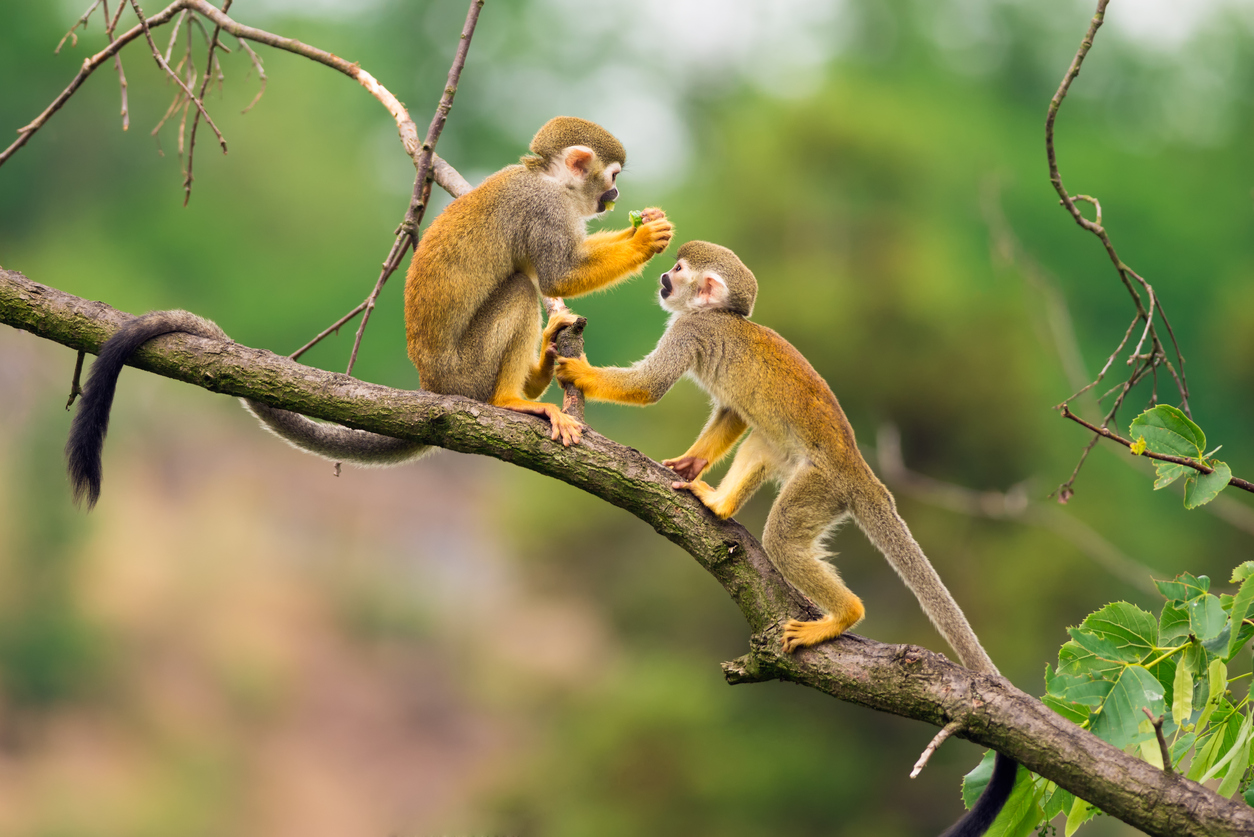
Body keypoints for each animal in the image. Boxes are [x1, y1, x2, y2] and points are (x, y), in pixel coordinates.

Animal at [66, 116, 673, 507]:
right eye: (612, 177)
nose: (616, 197)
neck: (550, 181)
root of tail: (432, 388)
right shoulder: (542, 210)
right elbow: (555, 275)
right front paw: (647, 240)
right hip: (466, 371)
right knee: (521, 289)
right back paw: (511, 400)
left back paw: (543, 364)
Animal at [553, 240, 1017, 837]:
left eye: (677, 271)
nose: (661, 279)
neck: (721, 317)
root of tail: (861, 472)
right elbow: (731, 412)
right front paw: (691, 463)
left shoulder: (690, 331)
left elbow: (651, 386)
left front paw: (578, 371)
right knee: (762, 436)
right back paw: (721, 504)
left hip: (822, 486)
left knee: (783, 538)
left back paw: (843, 616)